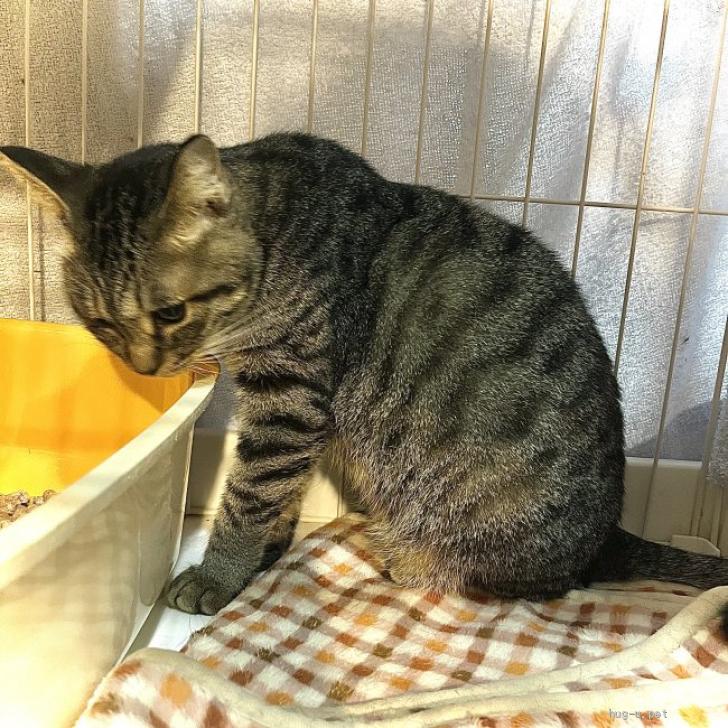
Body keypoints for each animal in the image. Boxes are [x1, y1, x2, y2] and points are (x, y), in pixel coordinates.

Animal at [1, 133, 727, 637]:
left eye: (172, 312)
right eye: (100, 323)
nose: (145, 367)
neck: (275, 239)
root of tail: (609, 530)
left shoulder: (290, 396)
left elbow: (249, 495)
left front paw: (218, 573)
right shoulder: (294, 413)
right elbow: (277, 491)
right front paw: (266, 552)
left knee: (539, 583)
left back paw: (415, 562)